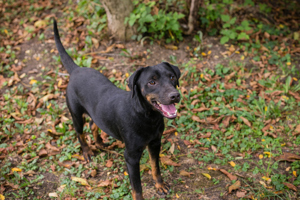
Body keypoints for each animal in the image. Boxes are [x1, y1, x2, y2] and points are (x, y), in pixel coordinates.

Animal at [53, 19, 180, 199]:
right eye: (152, 82)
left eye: (172, 77)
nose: (175, 95)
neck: (146, 116)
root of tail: (76, 69)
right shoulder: (131, 157)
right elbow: (137, 187)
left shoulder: (155, 143)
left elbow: (156, 167)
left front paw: (160, 185)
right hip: (76, 114)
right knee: (80, 133)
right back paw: (87, 151)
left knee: (93, 124)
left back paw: (100, 143)